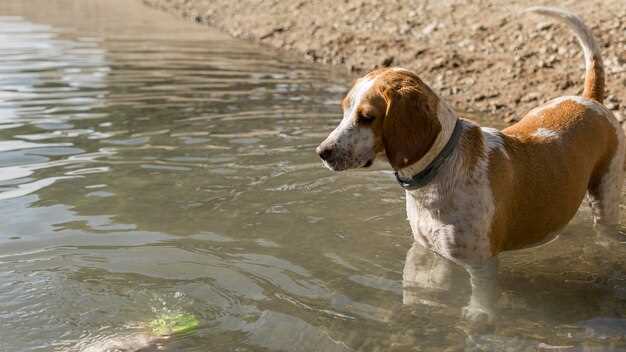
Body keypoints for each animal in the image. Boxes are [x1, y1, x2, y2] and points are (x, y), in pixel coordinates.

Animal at [314, 6, 620, 324]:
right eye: (344, 110)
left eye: (366, 117)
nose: (322, 152)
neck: (437, 171)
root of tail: (588, 99)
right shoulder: (426, 250)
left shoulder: (481, 262)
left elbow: (481, 296)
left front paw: (478, 317)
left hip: (606, 196)